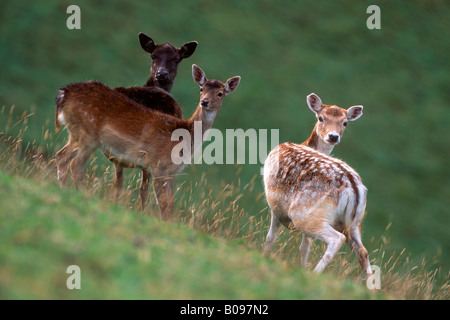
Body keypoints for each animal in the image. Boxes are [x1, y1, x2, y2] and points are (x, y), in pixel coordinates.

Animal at [55, 65, 241, 220]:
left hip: (77, 133)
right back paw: (80, 195)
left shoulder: (171, 172)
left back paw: (65, 190)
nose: (205, 102)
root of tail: (64, 93)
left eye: (220, 93)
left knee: (61, 156)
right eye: (201, 89)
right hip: (88, 134)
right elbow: (163, 203)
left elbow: (171, 203)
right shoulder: (158, 165)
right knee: (75, 165)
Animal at [262, 92, 370, 276]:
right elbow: (305, 247)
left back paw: (315, 274)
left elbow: (271, 238)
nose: (333, 136)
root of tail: (354, 189)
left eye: (345, 122)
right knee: (363, 251)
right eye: (321, 117)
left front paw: (264, 256)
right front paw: (301, 267)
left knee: (336, 239)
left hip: (304, 212)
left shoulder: (276, 207)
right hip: (354, 222)